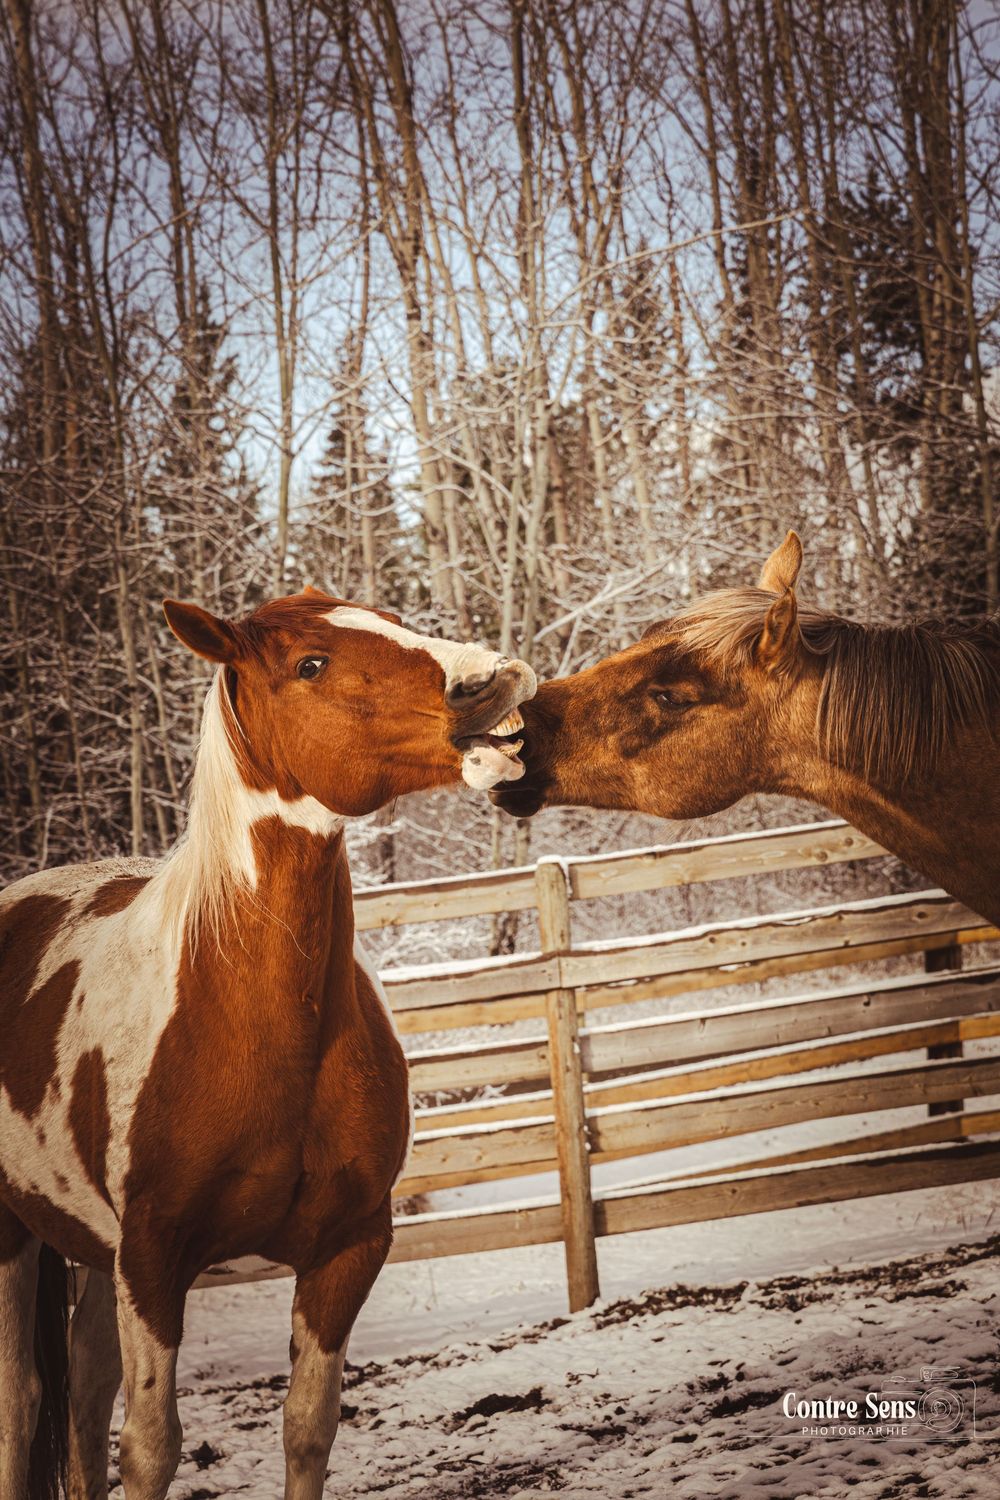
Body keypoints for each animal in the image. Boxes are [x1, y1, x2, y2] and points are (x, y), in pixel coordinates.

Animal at [0, 587, 535, 1500]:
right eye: (309, 663)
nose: (489, 680)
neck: (244, 1015)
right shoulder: (153, 1261)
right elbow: (152, 1449)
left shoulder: (347, 1250)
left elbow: (307, 1429)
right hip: (14, 1241)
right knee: (26, 1401)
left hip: (92, 1256)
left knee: (83, 1392)